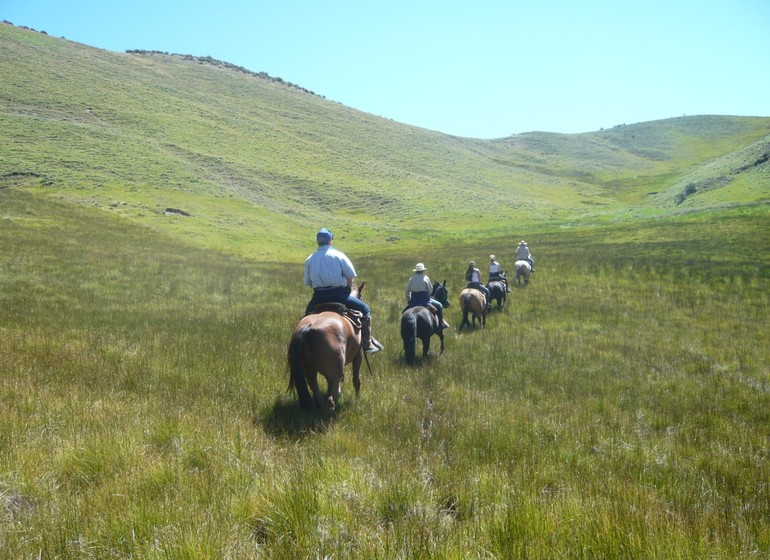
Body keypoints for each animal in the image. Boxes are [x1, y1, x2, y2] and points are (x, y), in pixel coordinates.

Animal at [288, 282, 366, 418]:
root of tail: (310, 328)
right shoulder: (359, 354)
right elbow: (356, 380)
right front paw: (357, 400)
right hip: (333, 374)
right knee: (330, 399)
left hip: (310, 372)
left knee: (317, 395)